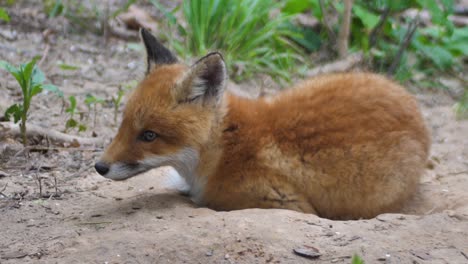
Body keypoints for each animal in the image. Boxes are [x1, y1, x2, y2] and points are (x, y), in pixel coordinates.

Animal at [95, 28, 432, 219]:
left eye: (149, 135)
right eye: (123, 125)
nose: (99, 167)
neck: (224, 150)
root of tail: (414, 107)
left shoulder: (287, 203)